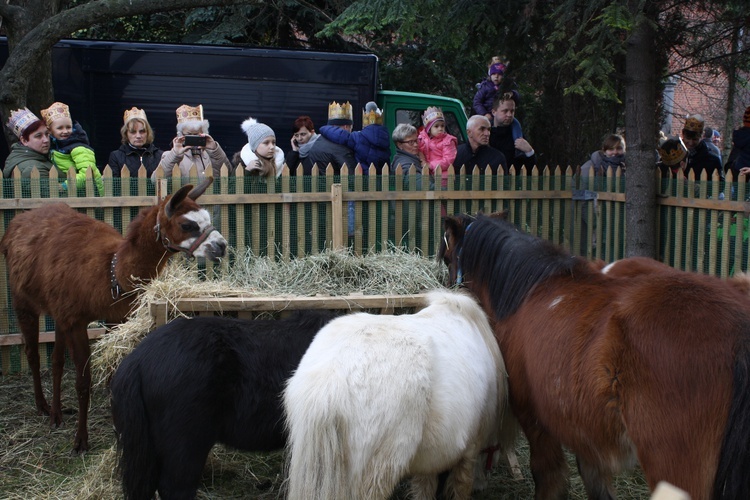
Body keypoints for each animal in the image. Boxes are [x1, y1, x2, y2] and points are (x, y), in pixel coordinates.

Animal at [0, 179, 226, 454]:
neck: (110, 273)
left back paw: (57, 413)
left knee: (55, 361)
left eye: (207, 218)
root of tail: (17, 221)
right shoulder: (76, 322)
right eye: (187, 224)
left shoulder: (114, 318)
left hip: (58, 311)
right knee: (32, 355)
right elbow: (83, 381)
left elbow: (112, 373)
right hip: (24, 302)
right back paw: (43, 407)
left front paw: (118, 424)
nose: (222, 246)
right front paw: (80, 441)